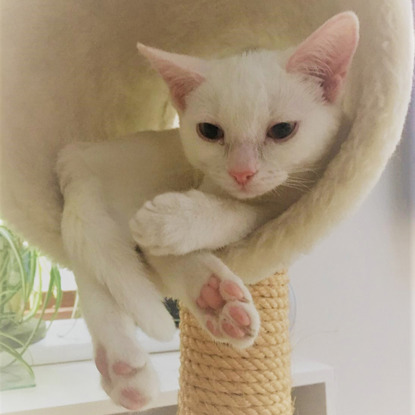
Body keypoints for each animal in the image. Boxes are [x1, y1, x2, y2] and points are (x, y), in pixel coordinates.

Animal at [57, 12, 360, 412]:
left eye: (282, 130)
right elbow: (230, 207)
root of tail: (76, 156)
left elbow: (238, 211)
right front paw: (177, 220)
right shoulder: (220, 187)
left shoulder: (286, 199)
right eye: (209, 131)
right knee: (119, 261)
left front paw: (174, 221)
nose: (241, 172)